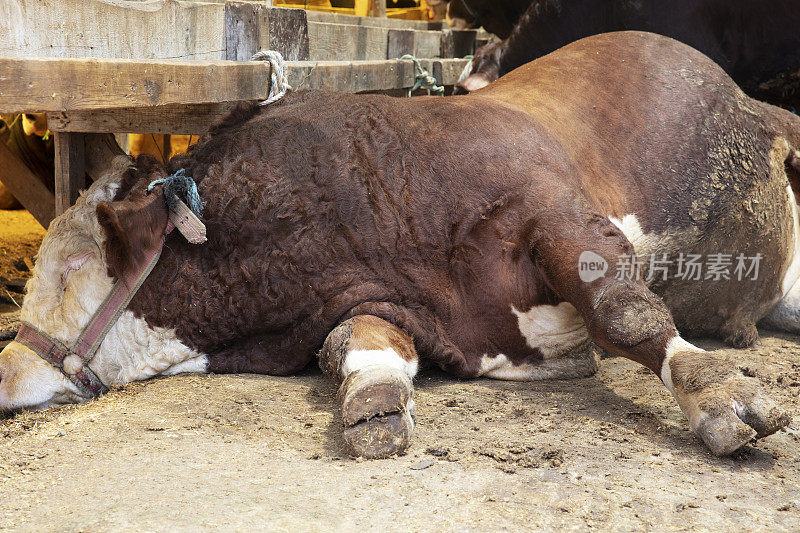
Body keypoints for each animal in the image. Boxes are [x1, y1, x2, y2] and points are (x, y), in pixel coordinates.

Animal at [1, 32, 800, 458]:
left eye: (74, 265)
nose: (3, 370)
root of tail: (755, 104)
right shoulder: (384, 299)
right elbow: (362, 340)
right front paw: (376, 399)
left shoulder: (559, 212)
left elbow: (626, 312)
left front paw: (719, 393)